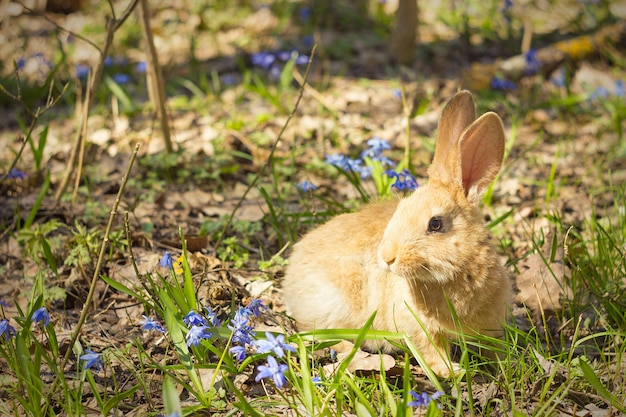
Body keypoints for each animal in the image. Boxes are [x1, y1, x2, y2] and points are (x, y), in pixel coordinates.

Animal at [280, 91, 510, 376]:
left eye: (435, 224)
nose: (387, 257)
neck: (458, 271)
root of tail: (290, 280)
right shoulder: (420, 329)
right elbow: (432, 351)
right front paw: (453, 371)